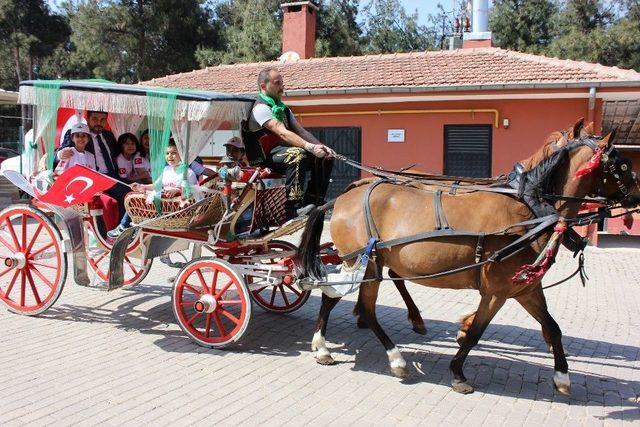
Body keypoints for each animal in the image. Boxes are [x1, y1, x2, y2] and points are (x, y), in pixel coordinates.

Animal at [298, 119, 636, 394]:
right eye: (621, 164)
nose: (637, 194)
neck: (528, 209)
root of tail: (341, 198)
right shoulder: (497, 290)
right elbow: (476, 332)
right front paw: (458, 372)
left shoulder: (525, 288)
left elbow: (553, 328)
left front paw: (563, 377)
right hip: (365, 263)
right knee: (364, 307)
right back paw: (395, 359)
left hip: (361, 263)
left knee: (332, 296)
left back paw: (322, 346)